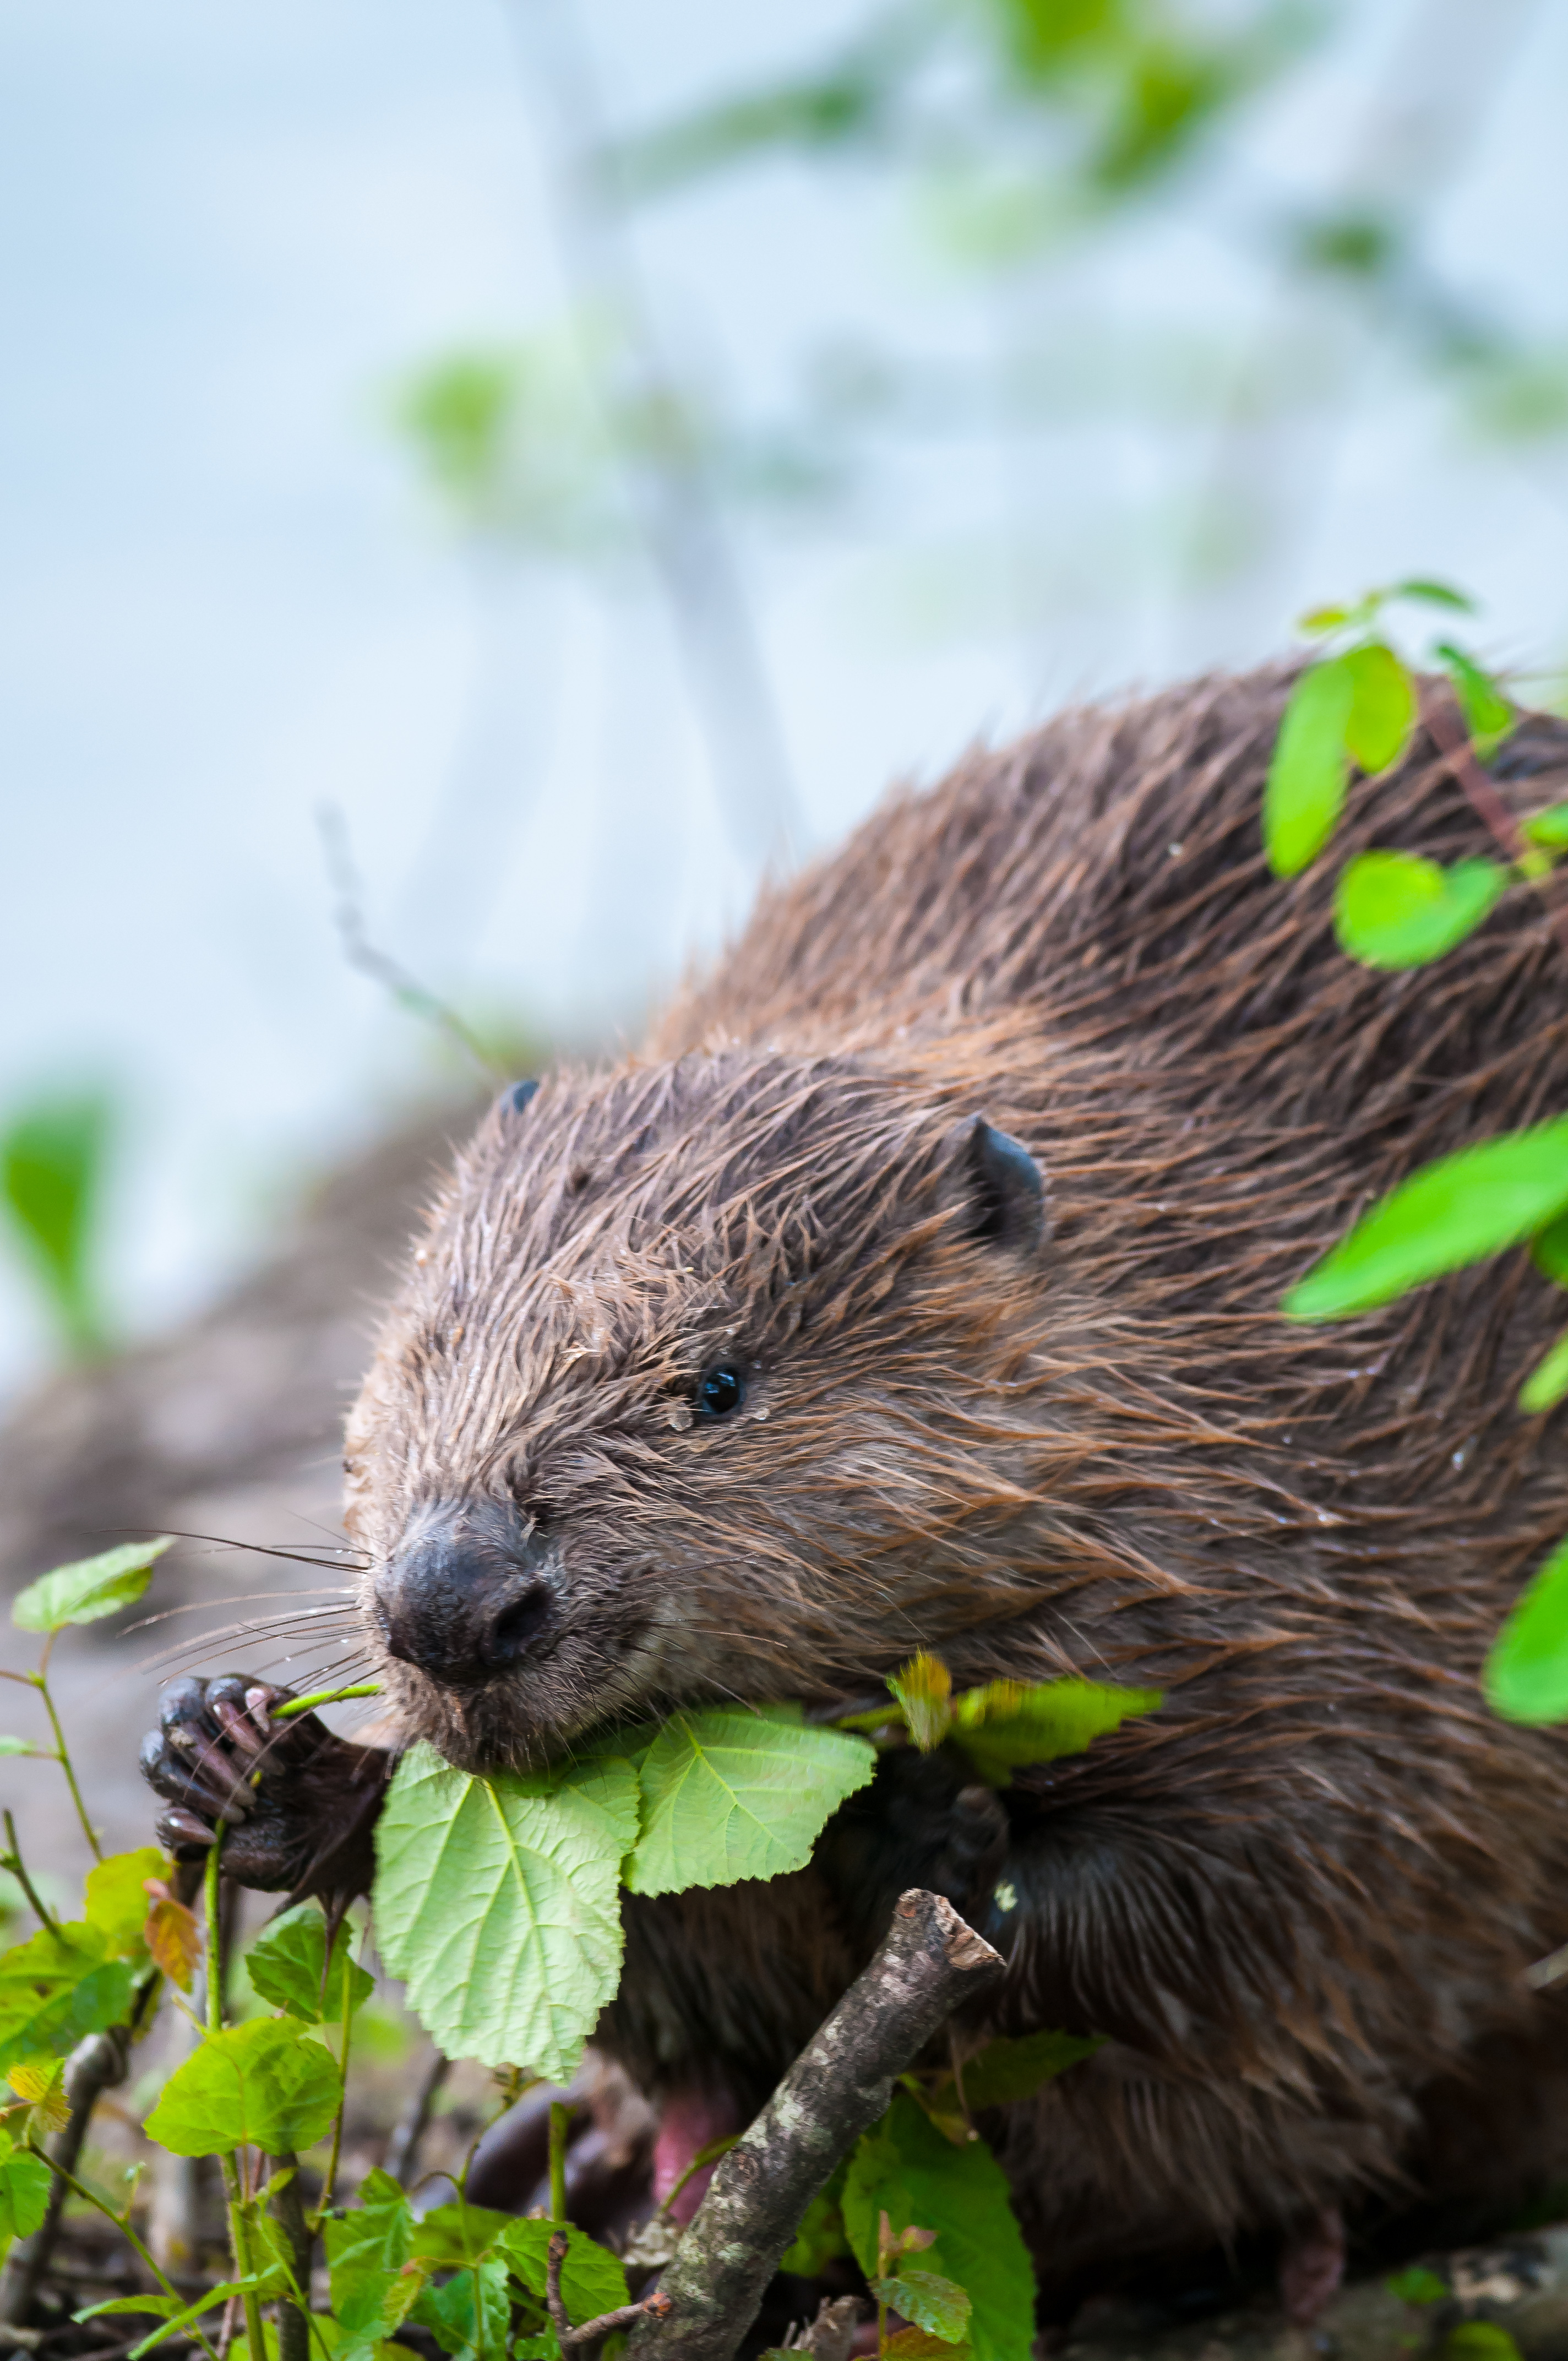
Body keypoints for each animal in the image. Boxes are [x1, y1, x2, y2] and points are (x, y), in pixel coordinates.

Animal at [141, 666, 1567, 2323]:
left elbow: (1285, 1877)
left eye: (716, 1385)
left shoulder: (1348, 1527)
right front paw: (233, 1753)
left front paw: (917, 1821)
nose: (454, 1603)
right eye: (429, 1341)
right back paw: (546, 2165)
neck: (1191, 1299)